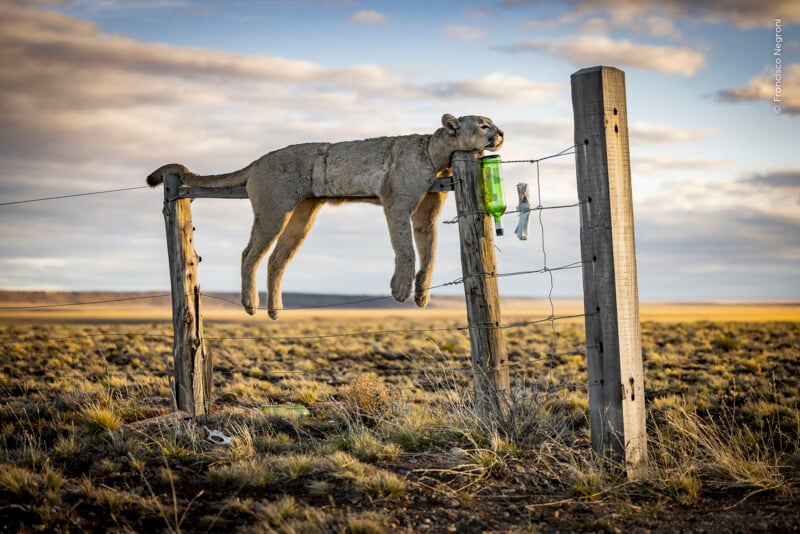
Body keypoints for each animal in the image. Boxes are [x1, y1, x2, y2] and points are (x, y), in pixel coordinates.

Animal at [147, 114, 504, 319]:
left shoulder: (425, 217)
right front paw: (401, 290)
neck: (438, 155)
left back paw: (276, 309)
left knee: (276, 259)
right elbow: (406, 250)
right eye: (483, 125)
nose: (501, 133)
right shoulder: (397, 204)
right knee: (250, 254)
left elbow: (428, 254)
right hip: (274, 211)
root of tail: (259, 159)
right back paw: (250, 303)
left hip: (302, 217)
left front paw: (422, 294)